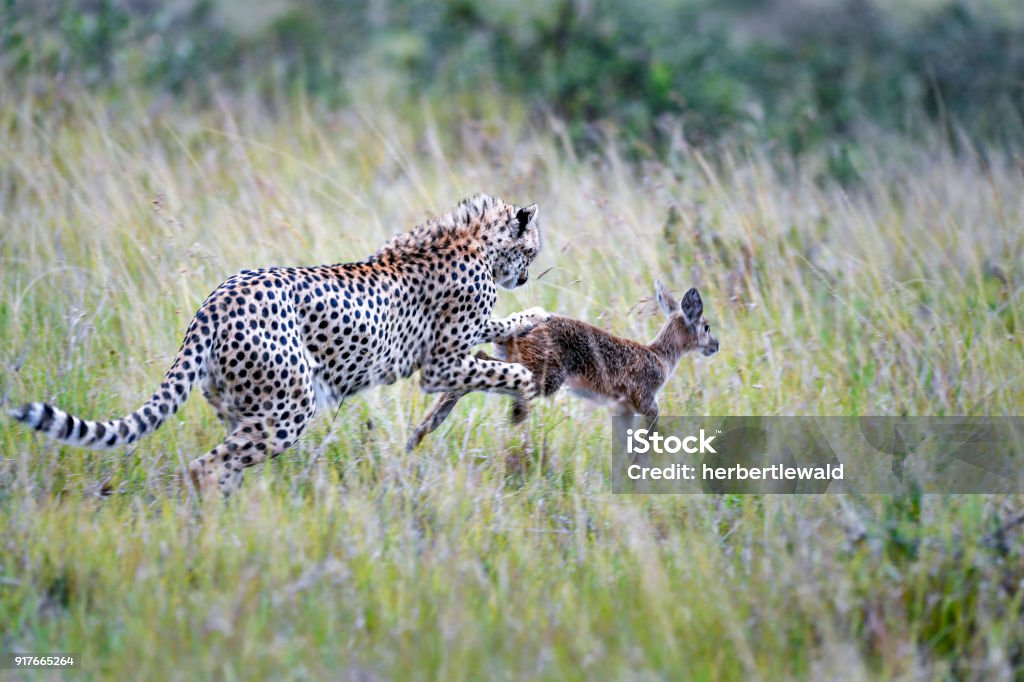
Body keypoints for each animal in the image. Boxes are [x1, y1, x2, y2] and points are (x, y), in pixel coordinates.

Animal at [9, 191, 552, 493]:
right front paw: (523, 398)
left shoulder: (459, 346)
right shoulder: (439, 365)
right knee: (206, 467)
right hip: (290, 407)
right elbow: (508, 371)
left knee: (227, 463)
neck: (476, 242)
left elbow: (499, 329)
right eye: (532, 249)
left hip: (245, 407)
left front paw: (535, 316)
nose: (526, 277)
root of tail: (216, 300)